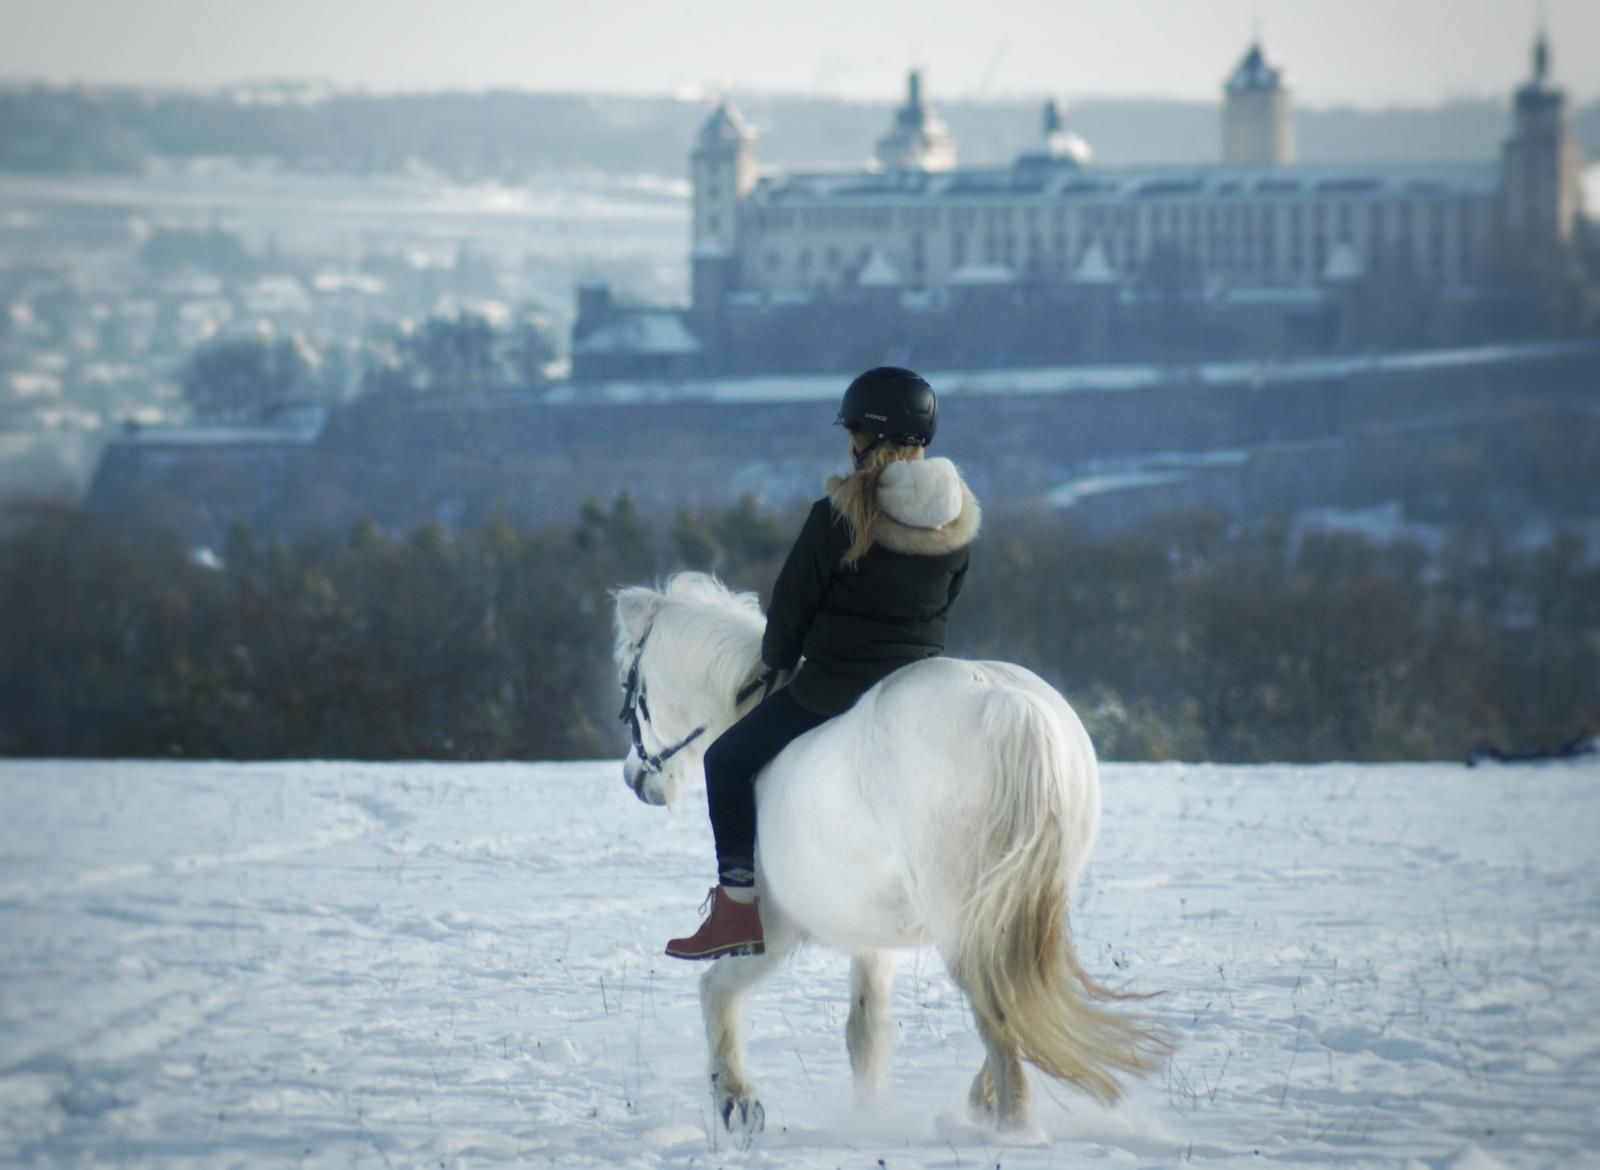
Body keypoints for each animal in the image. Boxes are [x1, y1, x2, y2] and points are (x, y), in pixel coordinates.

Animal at [611, 572, 1164, 1136]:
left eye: (630, 684)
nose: (635, 778)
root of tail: (1011, 710)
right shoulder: (871, 937)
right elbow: (866, 1033)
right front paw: (867, 1114)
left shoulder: (776, 923)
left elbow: (715, 990)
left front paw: (736, 1101)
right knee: (1017, 998)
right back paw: (985, 1102)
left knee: (999, 1011)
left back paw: (1015, 1127)